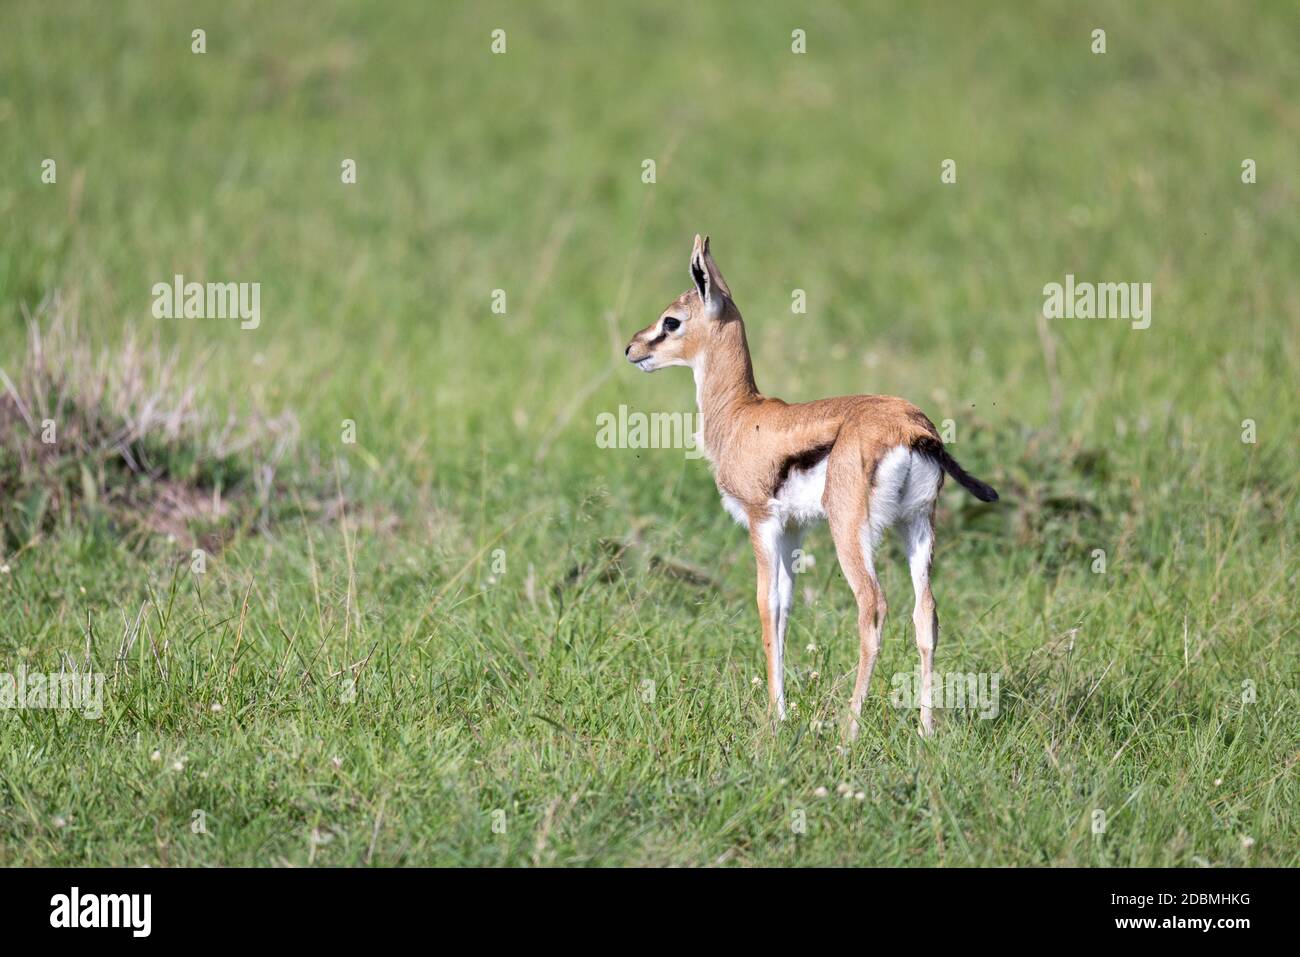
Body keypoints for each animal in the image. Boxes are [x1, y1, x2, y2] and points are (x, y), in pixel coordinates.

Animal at [625, 235, 998, 737]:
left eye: (671, 321)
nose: (631, 348)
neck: (742, 415)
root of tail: (911, 428)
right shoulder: (793, 528)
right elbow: (785, 608)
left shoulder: (761, 521)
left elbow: (766, 604)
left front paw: (774, 718)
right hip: (917, 525)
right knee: (926, 613)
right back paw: (926, 730)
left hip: (851, 533)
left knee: (873, 608)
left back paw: (848, 732)